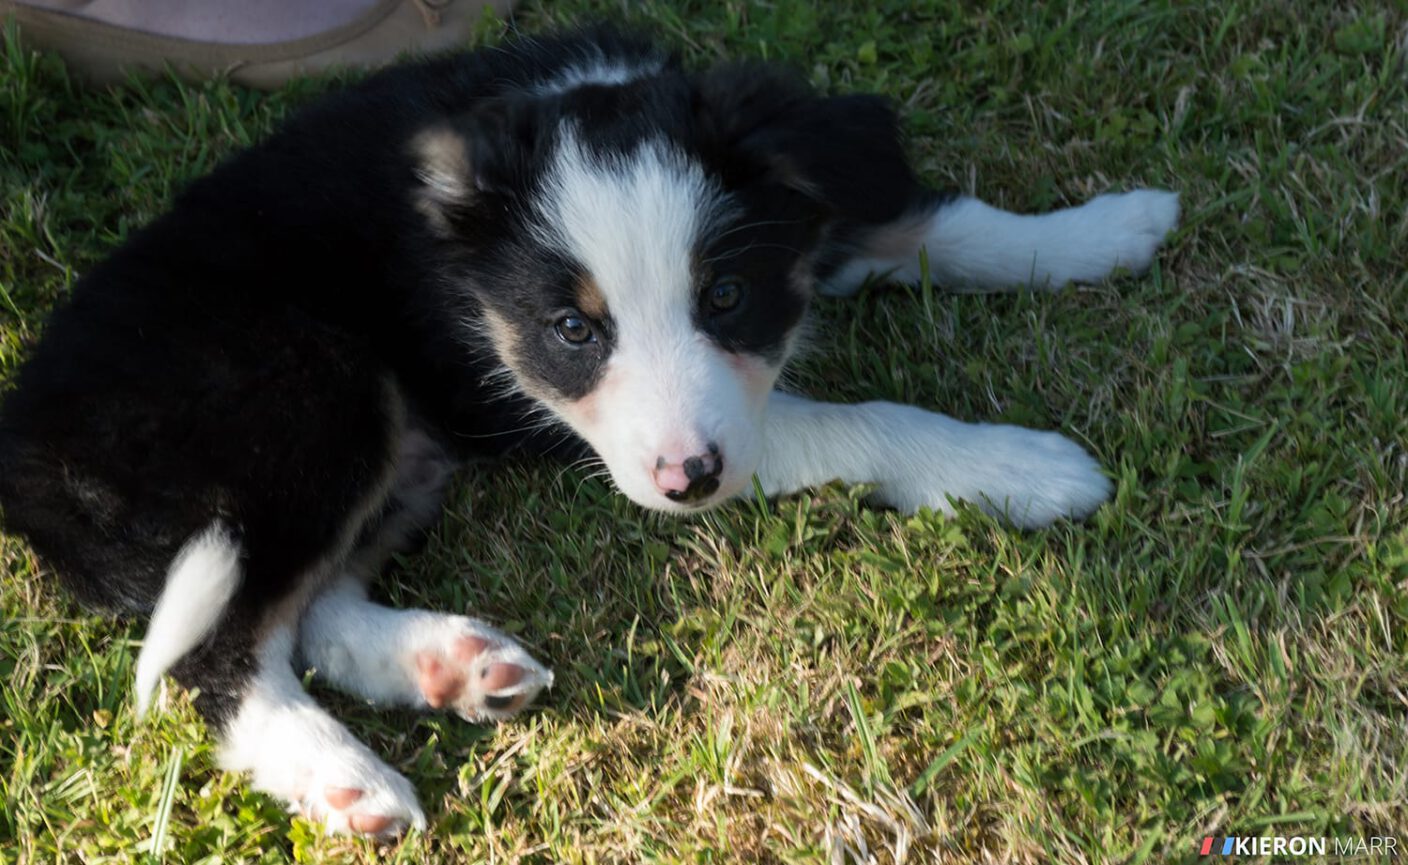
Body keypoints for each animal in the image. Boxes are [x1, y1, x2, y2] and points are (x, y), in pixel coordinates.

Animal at [0, 28, 1177, 839]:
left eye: (725, 295)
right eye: (574, 330)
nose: (689, 480)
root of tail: (25, 455)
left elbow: (939, 227)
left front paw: (1110, 228)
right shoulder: (607, 427)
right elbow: (861, 422)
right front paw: (1022, 465)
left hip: (386, 447)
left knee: (315, 609)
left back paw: (451, 665)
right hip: (310, 392)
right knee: (224, 649)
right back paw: (348, 777)